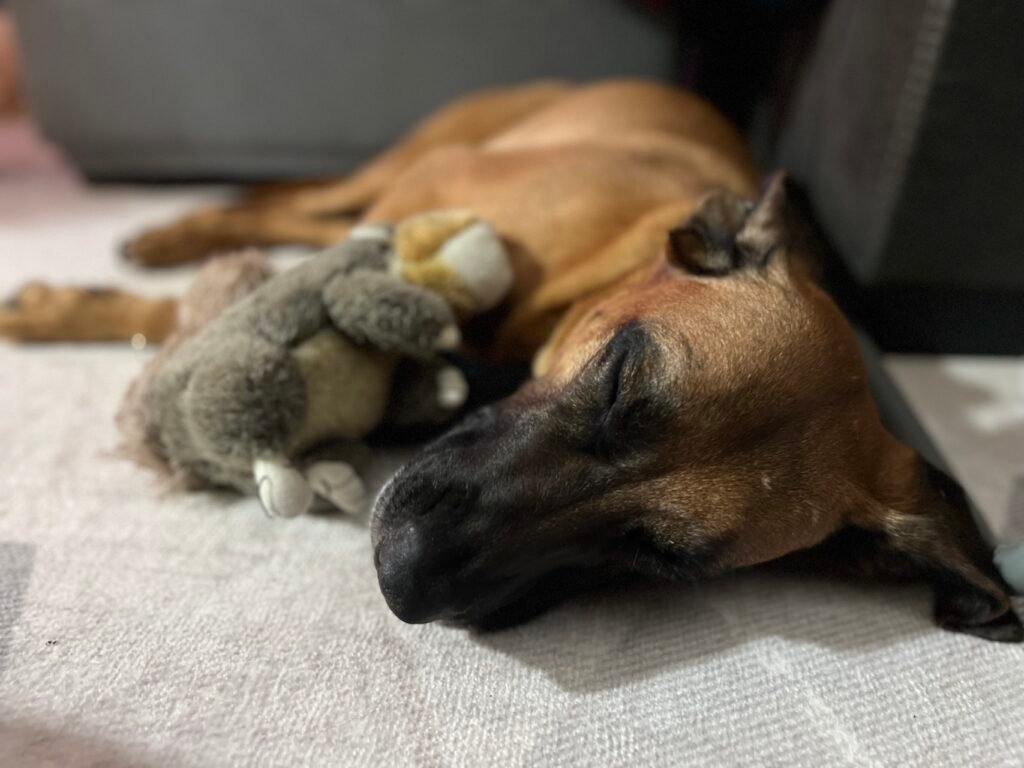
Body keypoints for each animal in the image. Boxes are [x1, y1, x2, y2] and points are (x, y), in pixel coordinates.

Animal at [9, 81, 1024, 638]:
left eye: (661, 559)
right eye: (618, 377)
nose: (402, 578)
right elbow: (230, 297)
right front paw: (76, 309)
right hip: (418, 157)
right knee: (299, 201)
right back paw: (173, 227)